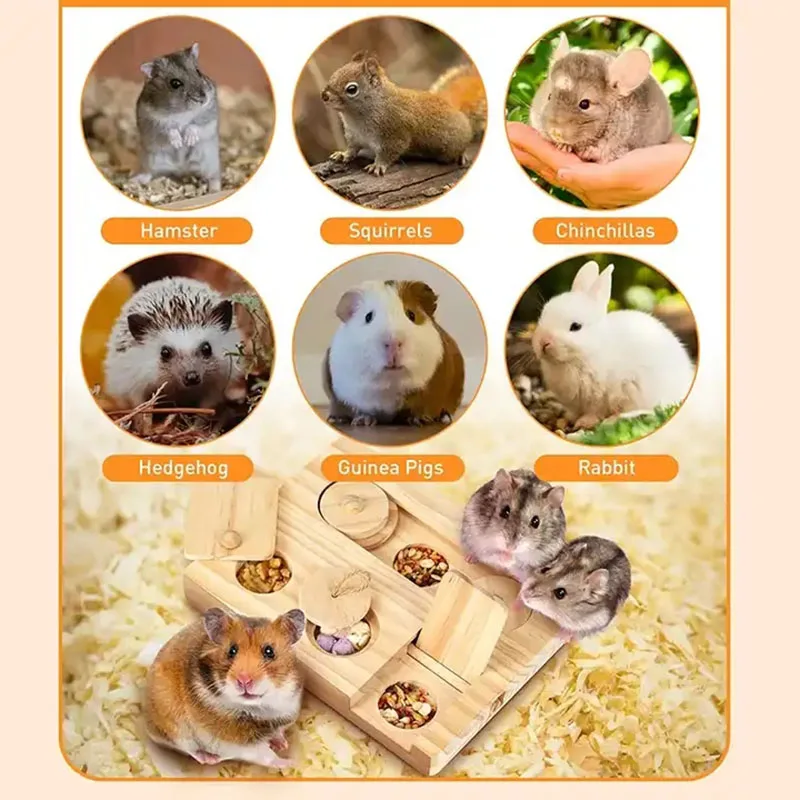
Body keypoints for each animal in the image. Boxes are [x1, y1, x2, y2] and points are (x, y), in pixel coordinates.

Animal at [134, 43, 222, 192]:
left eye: (198, 71)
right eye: (175, 83)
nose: (203, 98)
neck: (182, 111)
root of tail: (182, 170)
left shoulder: (209, 114)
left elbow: (195, 124)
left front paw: (188, 140)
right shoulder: (153, 121)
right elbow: (169, 129)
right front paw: (178, 143)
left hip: (209, 161)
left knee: (213, 176)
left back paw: (215, 189)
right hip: (150, 159)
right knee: (149, 173)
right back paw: (134, 181)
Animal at [144, 607, 306, 768]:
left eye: (269, 651)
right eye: (232, 651)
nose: (244, 680)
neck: (261, 708)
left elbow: (278, 732)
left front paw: (282, 744)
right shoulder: (244, 746)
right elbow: (268, 756)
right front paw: (291, 763)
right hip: (173, 728)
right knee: (190, 749)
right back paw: (209, 758)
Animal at [323, 279, 465, 427]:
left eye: (411, 315)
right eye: (368, 317)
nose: (393, 343)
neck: (390, 385)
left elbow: (422, 408)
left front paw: (420, 421)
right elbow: (362, 410)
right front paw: (363, 421)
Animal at [531, 260, 695, 430]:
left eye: (576, 326)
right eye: (543, 314)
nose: (543, 342)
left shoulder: (599, 396)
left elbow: (595, 411)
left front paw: (585, 422)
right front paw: (569, 418)